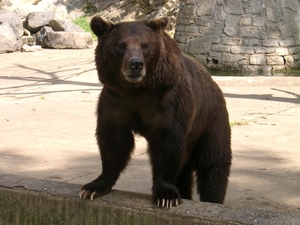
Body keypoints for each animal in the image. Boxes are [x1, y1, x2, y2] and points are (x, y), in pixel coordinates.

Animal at [78, 16, 232, 207]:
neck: (138, 89)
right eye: (121, 45)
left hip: (210, 121)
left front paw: (166, 196)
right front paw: (92, 188)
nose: (136, 64)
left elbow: (167, 143)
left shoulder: (168, 99)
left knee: (213, 163)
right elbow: (114, 141)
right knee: (185, 170)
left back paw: (213, 200)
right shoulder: (116, 99)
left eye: (145, 45)